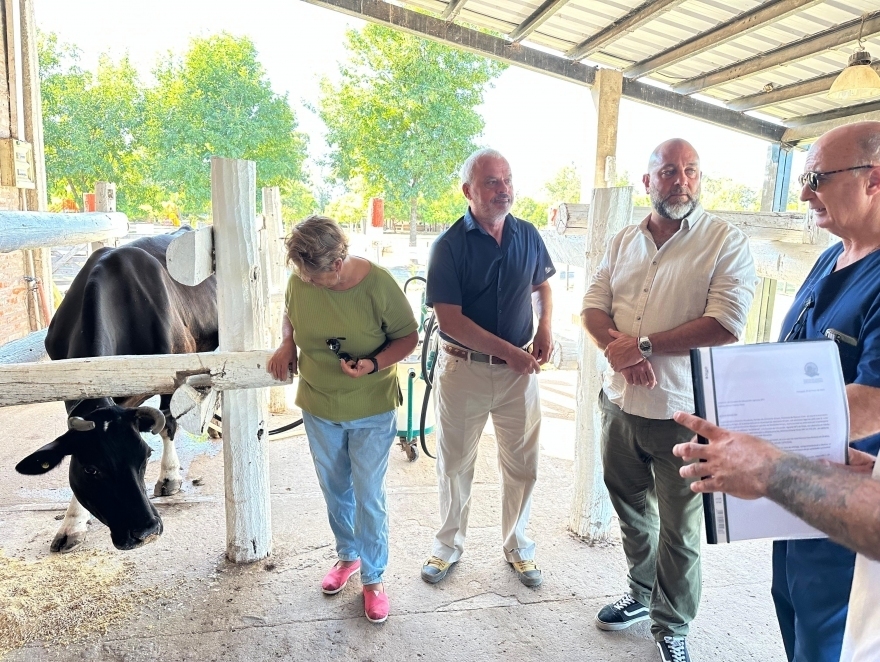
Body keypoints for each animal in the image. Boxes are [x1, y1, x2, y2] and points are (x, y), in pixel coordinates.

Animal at [15, 230, 218, 556]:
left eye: (145, 455)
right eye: (91, 470)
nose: (147, 532)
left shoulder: (169, 374)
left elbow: (168, 425)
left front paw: (169, 477)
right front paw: (72, 526)